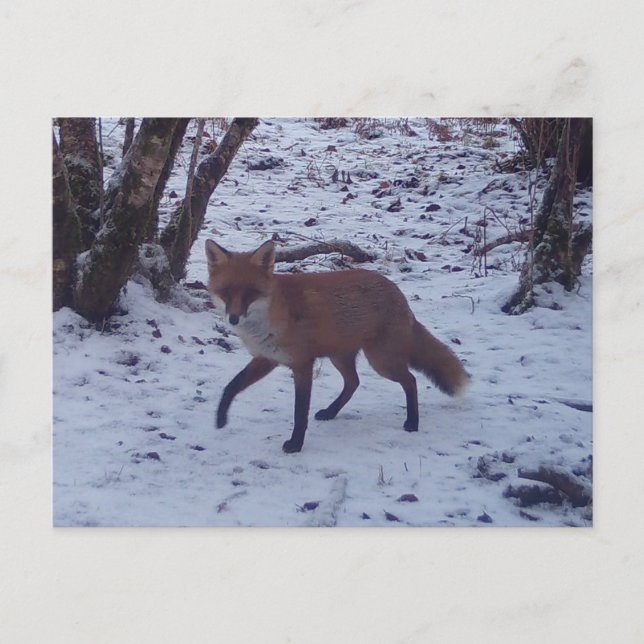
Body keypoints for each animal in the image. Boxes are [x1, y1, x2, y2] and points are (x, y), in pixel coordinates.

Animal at [206, 239, 469, 453]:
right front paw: (220, 418)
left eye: (250, 293)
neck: (271, 315)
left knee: (410, 381)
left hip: (381, 361)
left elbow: (300, 412)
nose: (233, 319)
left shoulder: (302, 364)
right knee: (354, 382)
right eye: (226, 292)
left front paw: (296, 444)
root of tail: (398, 292)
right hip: (340, 357)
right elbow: (232, 386)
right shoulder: (267, 358)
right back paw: (331, 412)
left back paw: (412, 422)